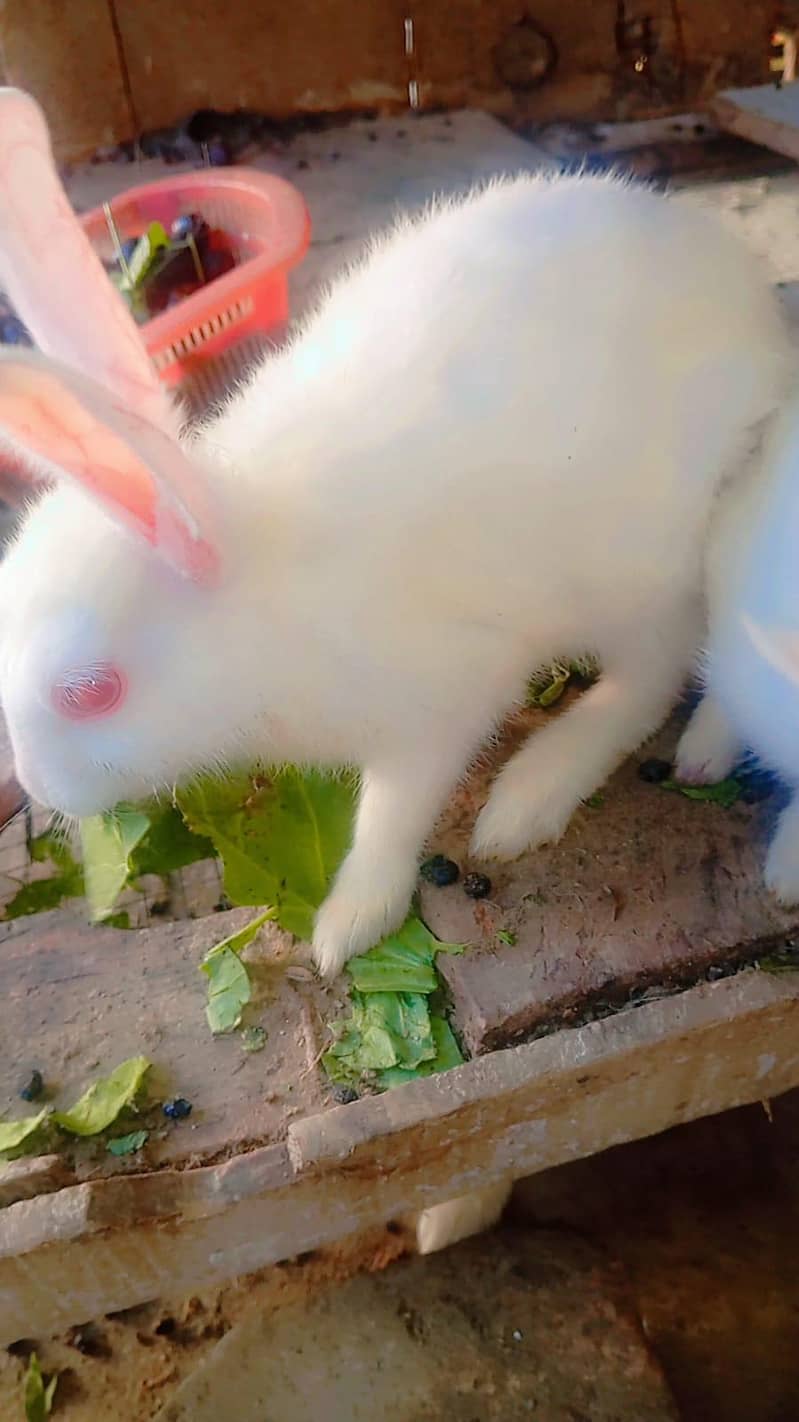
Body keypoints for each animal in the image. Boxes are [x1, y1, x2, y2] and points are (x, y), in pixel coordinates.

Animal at [0, 88, 793, 986]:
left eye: (91, 693)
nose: (41, 788)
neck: (256, 600)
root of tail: (756, 315)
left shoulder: (442, 697)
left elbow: (391, 813)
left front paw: (347, 926)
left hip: (642, 572)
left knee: (655, 677)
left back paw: (532, 795)